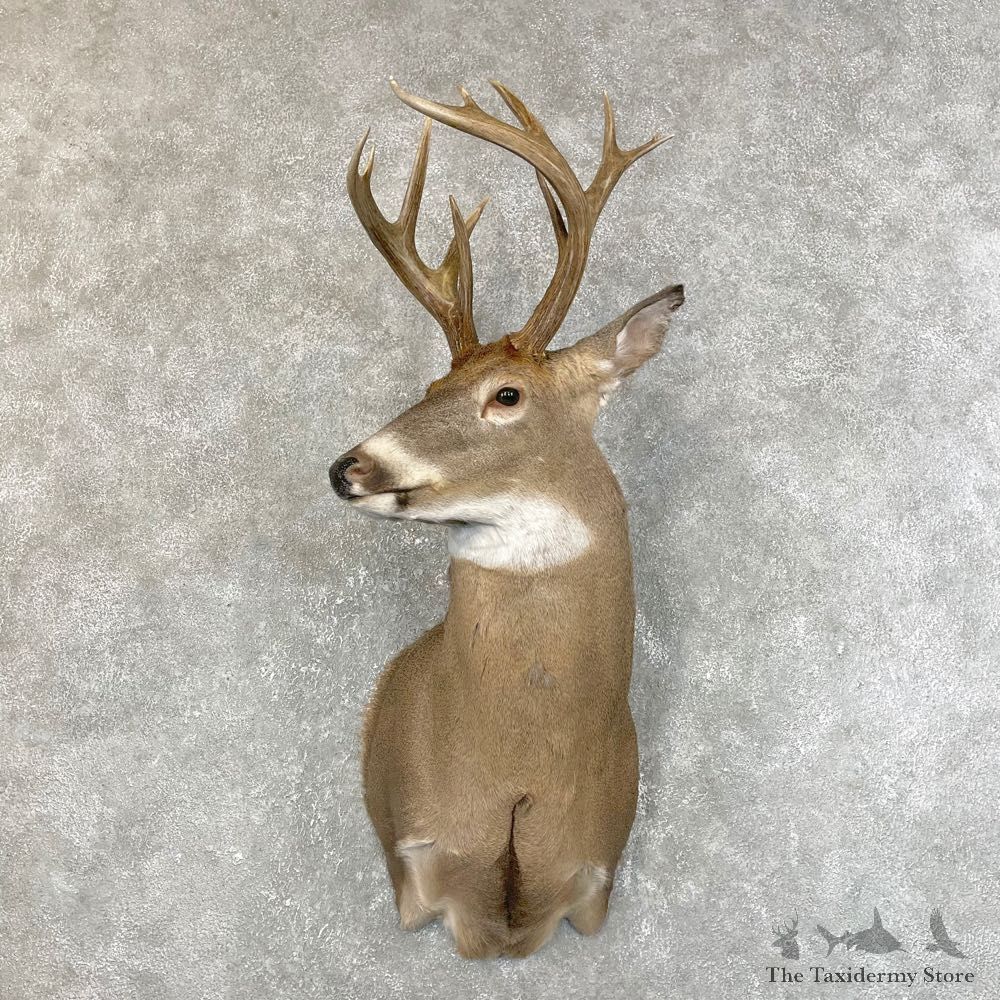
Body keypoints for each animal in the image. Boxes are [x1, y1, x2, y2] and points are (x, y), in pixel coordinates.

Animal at [330, 79, 684, 959]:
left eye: (508, 395)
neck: (519, 780)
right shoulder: (414, 864)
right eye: (429, 388)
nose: (348, 468)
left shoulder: (595, 884)